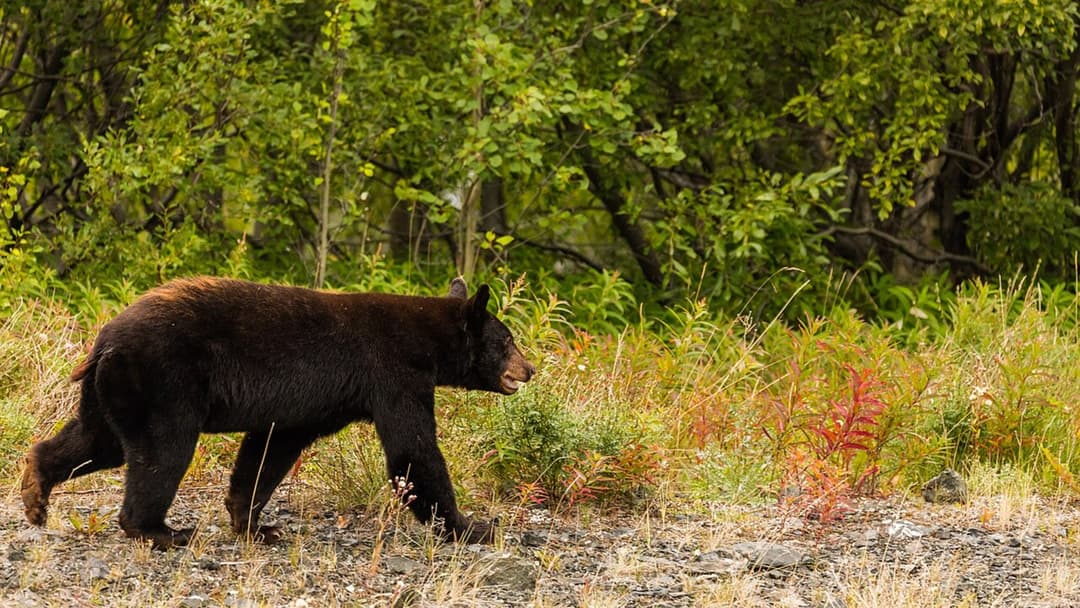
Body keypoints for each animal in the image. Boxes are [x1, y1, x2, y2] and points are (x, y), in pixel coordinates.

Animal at [20, 276, 535, 548]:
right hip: (163, 381)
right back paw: (160, 530)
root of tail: (104, 339)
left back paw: (35, 492)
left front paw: (254, 523)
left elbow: (270, 448)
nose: (529, 369)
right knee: (161, 452)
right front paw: (473, 526)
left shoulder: (309, 405)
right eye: (507, 339)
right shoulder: (394, 374)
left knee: (96, 440)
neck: (427, 341)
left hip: (113, 390)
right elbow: (413, 450)